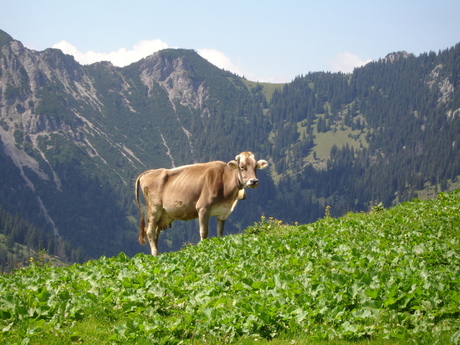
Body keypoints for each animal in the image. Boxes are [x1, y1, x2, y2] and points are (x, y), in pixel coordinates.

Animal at [135, 151, 268, 255]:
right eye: (242, 167)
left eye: (255, 166)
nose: (254, 181)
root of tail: (149, 172)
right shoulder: (203, 208)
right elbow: (204, 232)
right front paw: (203, 250)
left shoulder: (223, 212)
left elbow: (220, 232)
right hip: (154, 210)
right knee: (150, 232)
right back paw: (154, 256)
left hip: (163, 215)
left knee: (156, 233)